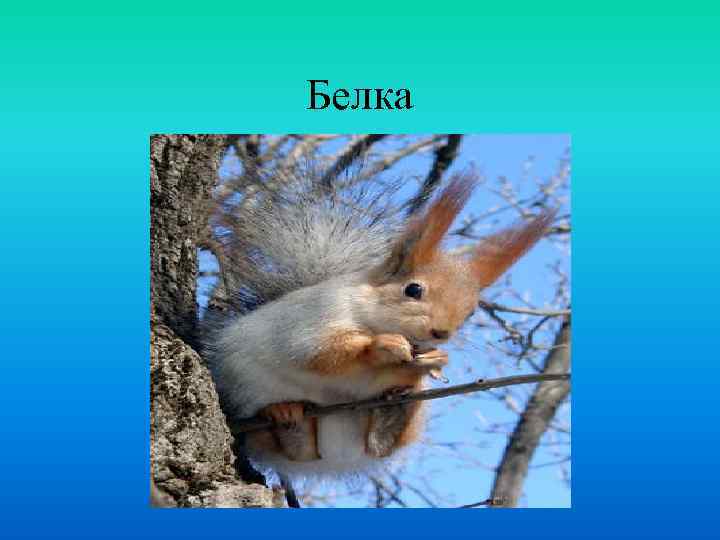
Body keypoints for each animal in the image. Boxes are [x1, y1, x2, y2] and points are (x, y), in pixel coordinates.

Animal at [204, 169, 554, 480]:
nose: (441, 333)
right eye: (413, 290)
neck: (370, 314)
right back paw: (286, 415)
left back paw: (393, 414)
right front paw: (383, 346)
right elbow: (322, 354)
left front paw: (432, 360)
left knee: (381, 445)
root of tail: (336, 457)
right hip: (247, 394)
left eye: (470, 313)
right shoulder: (314, 320)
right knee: (283, 444)